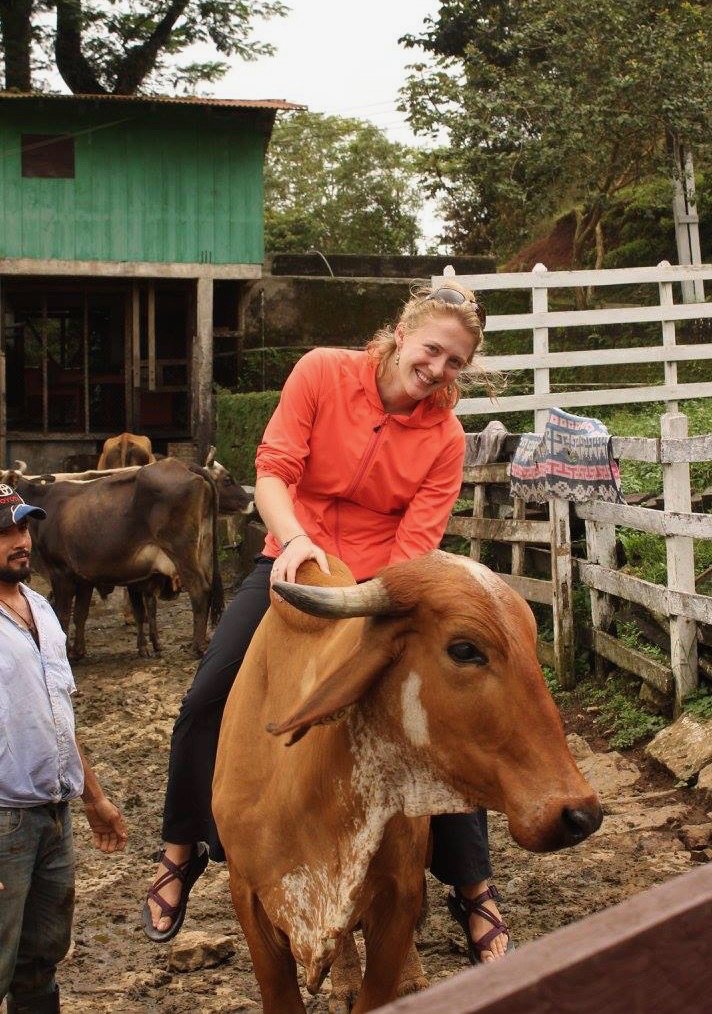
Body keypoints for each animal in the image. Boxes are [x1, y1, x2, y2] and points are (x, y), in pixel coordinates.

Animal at [4, 458, 223, 657]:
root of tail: (183, 464)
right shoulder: (83, 579)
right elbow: (80, 614)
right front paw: (78, 651)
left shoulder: (60, 573)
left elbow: (62, 616)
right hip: (204, 549)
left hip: (181, 551)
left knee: (199, 590)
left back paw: (196, 647)